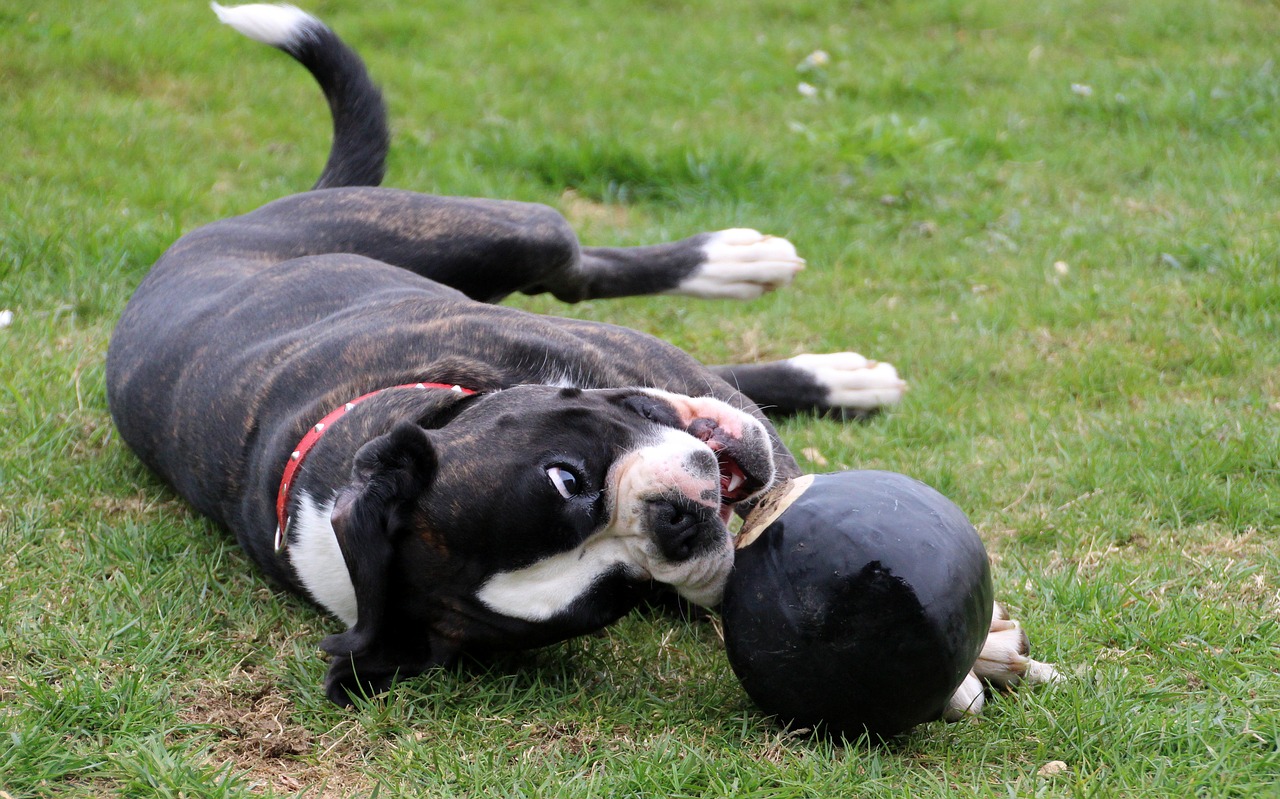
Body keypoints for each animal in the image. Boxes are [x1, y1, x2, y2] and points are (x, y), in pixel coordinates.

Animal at [104, 3, 1054, 706]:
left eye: (566, 476)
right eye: (615, 596)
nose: (674, 525)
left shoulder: (637, 367)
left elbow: (772, 466)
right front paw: (965, 665)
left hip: (519, 233)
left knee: (577, 265)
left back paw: (740, 268)